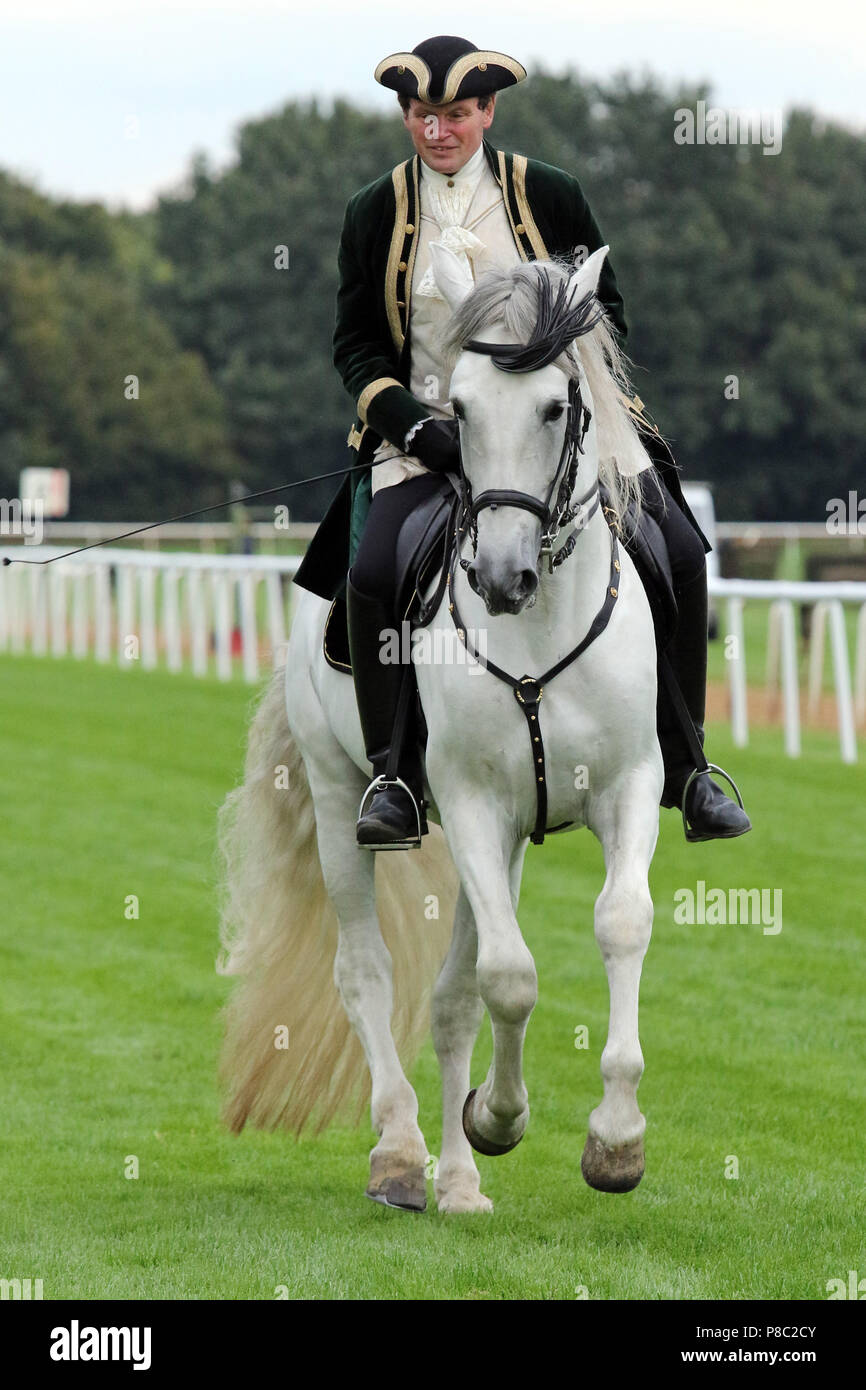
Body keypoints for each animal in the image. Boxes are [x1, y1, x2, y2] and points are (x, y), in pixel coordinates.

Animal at [216, 244, 664, 1212]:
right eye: (456, 410)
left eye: (556, 405)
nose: (499, 577)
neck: (539, 627)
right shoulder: (469, 804)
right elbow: (510, 976)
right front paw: (500, 1119)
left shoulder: (625, 791)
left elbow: (618, 925)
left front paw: (614, 1140)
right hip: (344, 798)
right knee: (368, 973)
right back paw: (399, 1154)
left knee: (454, 996)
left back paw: (456, 1180)